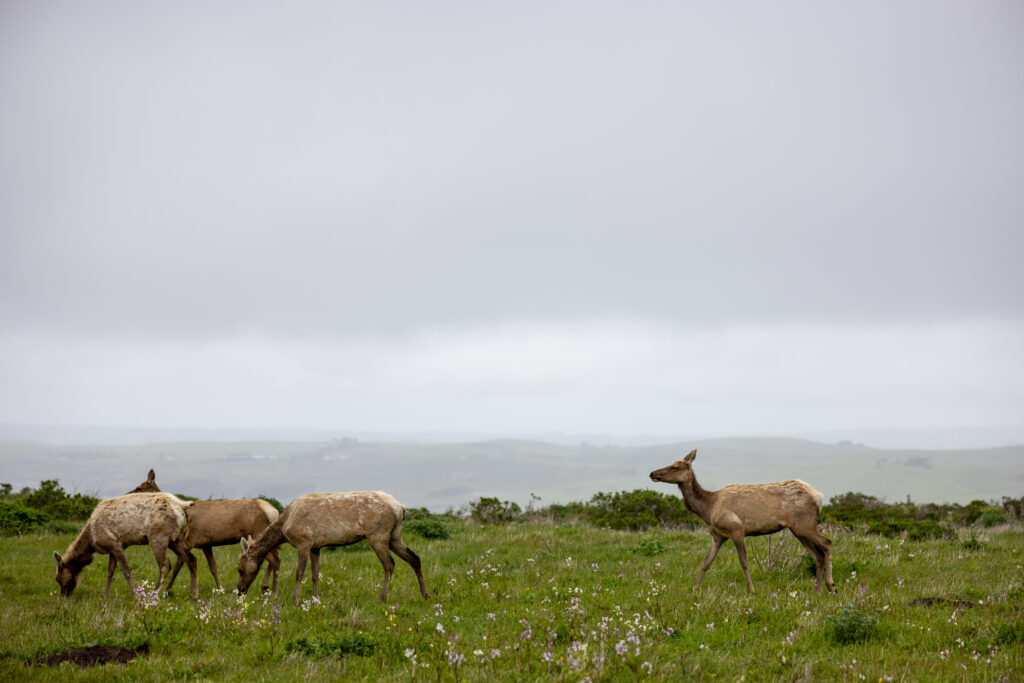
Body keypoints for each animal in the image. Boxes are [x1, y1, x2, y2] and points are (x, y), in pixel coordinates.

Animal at [52, 493, 200, 602]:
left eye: (58, 578)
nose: (63, 595)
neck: (91, 541)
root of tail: (182, 506)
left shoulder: (115, 544)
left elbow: (126, 571)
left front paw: (135, 597)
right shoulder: (112, 549)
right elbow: (110, 572)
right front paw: (105, 597)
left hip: (158, 537)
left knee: (165, 565)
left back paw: (152, 595)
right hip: (176, 539)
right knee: (191, 559)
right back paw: (194, 595)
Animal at [125, 471, 282, 593]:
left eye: (139, 487)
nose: (126, 496)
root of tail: (274, 511)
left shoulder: (189, 541)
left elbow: (177, 567)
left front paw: (167, 590)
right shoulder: (206, 544)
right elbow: (213, 567)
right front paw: (220, 589)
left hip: (258, 532)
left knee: (275, 559)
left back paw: (268, 589)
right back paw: (265, 587)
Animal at [237, 491, 430, 602]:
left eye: (239, 568)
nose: (239, 590)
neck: (284, 530)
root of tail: (400, 508)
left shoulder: (304, 542)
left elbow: (299, 573)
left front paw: (296, 601)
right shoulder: (316, 546)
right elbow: (315, 574)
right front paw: (316, 599)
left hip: (378, 535)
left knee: (389, 564)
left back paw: (382, 598)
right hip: (395, 536)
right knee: (415, 558)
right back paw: (426, 594)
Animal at [651, 448, 835, 593]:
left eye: (674, 466)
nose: (652, 473)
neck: (708, 508)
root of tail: (818, 497)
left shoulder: (736, 529)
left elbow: (744, 562)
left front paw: (751, 590)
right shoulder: (717, 536)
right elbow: (706, 562)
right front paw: (695, 589)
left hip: (805, 523)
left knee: (827, 543)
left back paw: (831, 586)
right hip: (797, 529)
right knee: (817, 554)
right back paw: (818, 591)